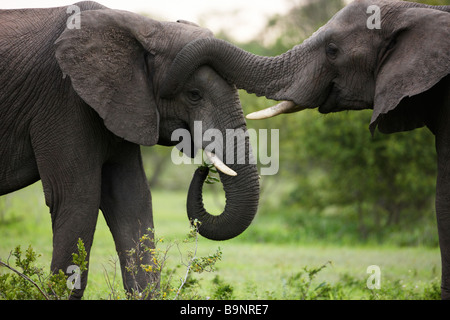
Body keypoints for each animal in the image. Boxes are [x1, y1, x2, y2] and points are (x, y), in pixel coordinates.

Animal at [0, 1, 260, 298]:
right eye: (194, 94)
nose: (203, 169)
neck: (143, 28)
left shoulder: (125, 104)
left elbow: (132, 199)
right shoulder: (64, 99)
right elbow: (77, 199)